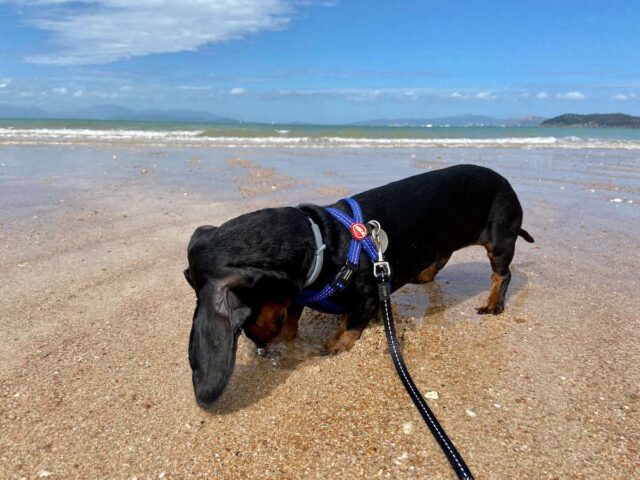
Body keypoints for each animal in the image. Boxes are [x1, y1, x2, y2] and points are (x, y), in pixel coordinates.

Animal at [185, 165, 536, 408]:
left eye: (244, 317)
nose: (258, 347)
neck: (324, 240)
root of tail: (505, 181)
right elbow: (295, 312)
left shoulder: (368, 297)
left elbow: (349, 325)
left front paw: (334, 347)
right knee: (443, 254)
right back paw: (425, 274)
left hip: (500, 238)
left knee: (502, 274)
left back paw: (493, 303)